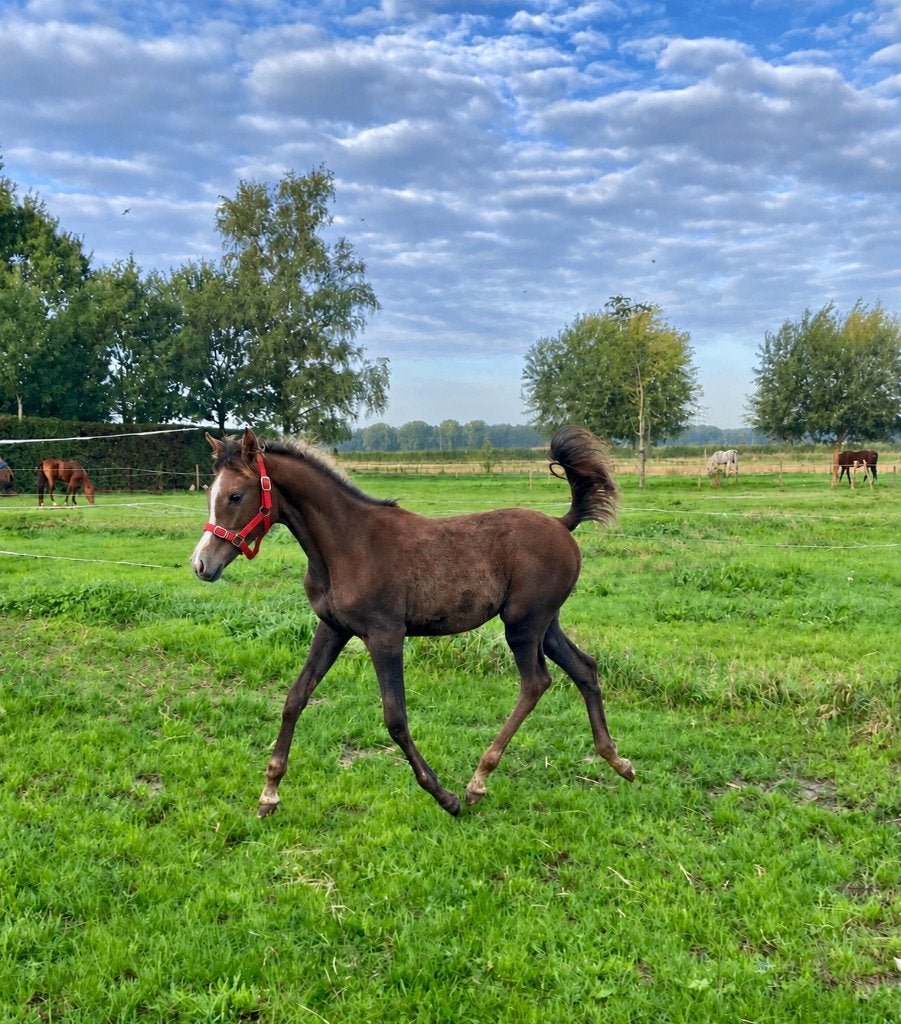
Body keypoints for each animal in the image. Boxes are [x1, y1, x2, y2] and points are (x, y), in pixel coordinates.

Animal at [191, 426, 635, 818]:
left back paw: (477, 782)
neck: (347, 545)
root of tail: (561, 524)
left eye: (235, 495)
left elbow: (395, 718)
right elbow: (295, 698)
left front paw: (444, 797)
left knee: (535, 683)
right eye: (210, 494)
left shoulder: (385, 635)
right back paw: (617, 761)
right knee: (585, 667)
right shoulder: (332, 628)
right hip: (546, 624)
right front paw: (269, 793)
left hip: (523, 626)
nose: (201, 564)